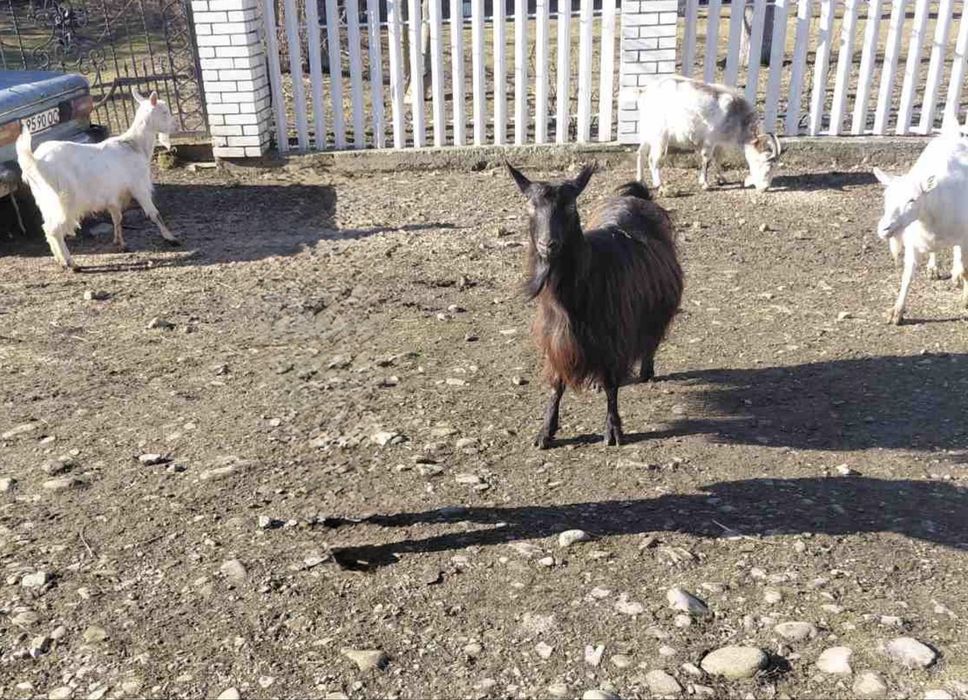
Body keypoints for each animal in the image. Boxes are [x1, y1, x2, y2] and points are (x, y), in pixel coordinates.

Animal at [16, 88, 179, 270]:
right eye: (164, 112)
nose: (176, 126)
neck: (133, 145)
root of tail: (35, 161)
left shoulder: (114, 195)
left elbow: (117, 218)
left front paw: (120, 242)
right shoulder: (139, 186)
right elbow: (154, 213)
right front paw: (170, 238)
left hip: (45, 201)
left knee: (47, 227)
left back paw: (60, 260)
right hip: (64, 200)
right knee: (54, 229)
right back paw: (71, 263)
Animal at [507, 163, 683, 448]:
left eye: (571, 206)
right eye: (530, 206)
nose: (548, 244)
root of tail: (636, 197)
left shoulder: (613, 338)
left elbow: (612, 384)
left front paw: (613, 430)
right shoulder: (556, 339)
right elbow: (556, 384)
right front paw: (545, 432)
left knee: (651, 338)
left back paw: (646, 371)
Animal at [635, 75, 781, 192]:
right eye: (768, 167)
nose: (765, 188)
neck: (735, 115)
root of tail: (644, 92)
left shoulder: (718, 143)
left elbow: (718, 158)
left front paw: (721, 178)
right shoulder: (710, 140)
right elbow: (707, 159)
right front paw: (704, 183)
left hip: (647, 132)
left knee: (641, 152)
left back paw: (640, 181)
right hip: (659, 136)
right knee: (652, 159)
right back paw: (659, 184)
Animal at [874, 132, 968, 324]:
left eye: (912, 199)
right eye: (886, 196)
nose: (884, 228)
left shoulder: (966, 237)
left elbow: (966, 270)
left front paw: (966, 300)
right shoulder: (913, 242)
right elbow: (907, 274)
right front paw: (897, 312)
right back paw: (933, 269)